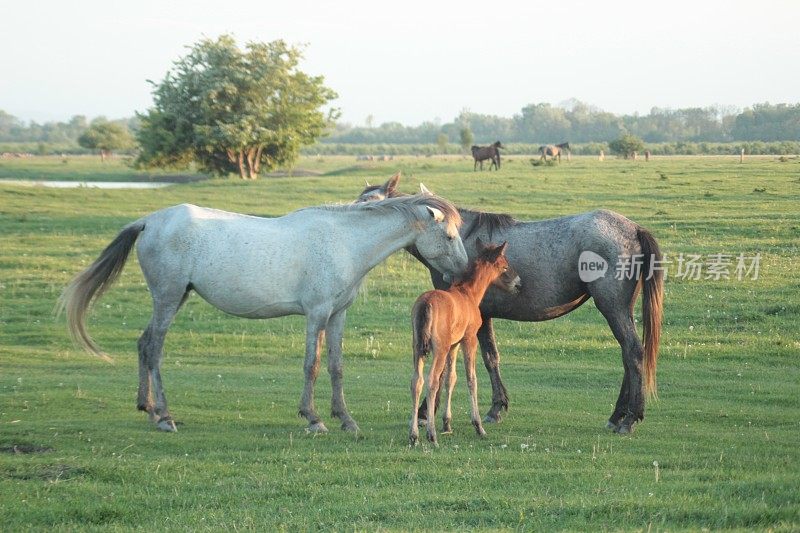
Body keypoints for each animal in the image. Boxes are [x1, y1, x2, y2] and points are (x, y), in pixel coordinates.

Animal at [61, 194, 468, 432]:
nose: (464, 272)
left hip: (173, 298)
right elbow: (312, 365)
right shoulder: (316, 314)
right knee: (153, 348)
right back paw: (164, 416)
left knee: (144, 343)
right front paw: (313, 418)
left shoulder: (337, 316)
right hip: (168, 297)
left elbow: (336, 367)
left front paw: (345, 419)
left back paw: (146, 406)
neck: (345, 242)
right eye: (449, 236)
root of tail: (149, 220)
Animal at [410, 240, 520, 444]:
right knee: (431, 381)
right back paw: (431, 435)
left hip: (418, 347)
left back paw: (413, 436)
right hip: (439, 349)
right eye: (505, 265)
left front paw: (447, 424)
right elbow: (471, 378)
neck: (468, 293)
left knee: (416, 382)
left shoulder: (454, 345)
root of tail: (426, 305)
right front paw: (478, 426)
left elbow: (451, 378)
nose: (519, 282)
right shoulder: (469, 339)